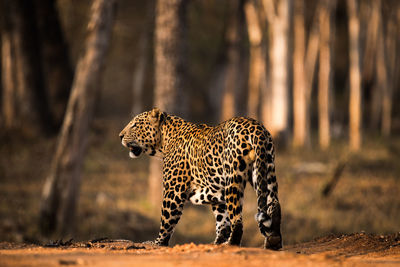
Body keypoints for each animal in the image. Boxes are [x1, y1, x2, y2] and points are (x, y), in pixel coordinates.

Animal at [118, 108, 282, 250]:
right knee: (274, 204)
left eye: (134, 125)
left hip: (233, 179)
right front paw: (217, 242)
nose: (120, 136)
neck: (164, 141)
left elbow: (167, 218)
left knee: (237, 219)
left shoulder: (174, 192)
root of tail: (256, 127)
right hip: (265, 170)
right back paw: (273, 241)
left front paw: (157, 242)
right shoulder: (217, 192)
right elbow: (222, 220)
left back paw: (231, 243)